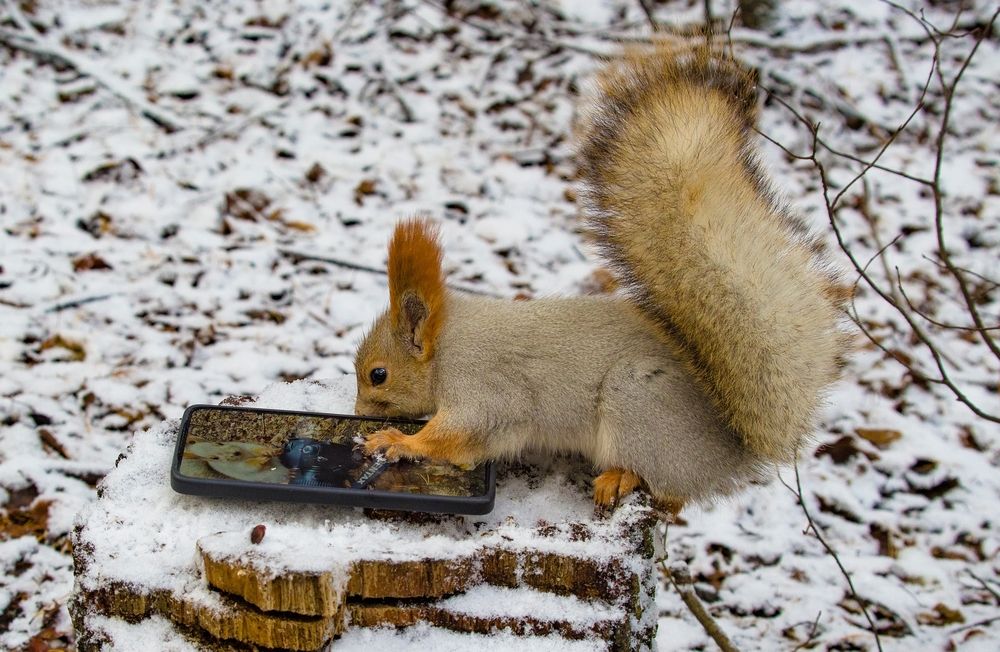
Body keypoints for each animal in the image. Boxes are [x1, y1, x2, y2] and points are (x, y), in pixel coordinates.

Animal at [353, 48, 848, 512]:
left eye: (379, 375)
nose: (357, 413)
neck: (446, 345)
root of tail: (724, 455)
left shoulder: (485, 386)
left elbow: (466, 433)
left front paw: (398, 441)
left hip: (636, 404)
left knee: (665, 488)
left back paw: (621, 477)